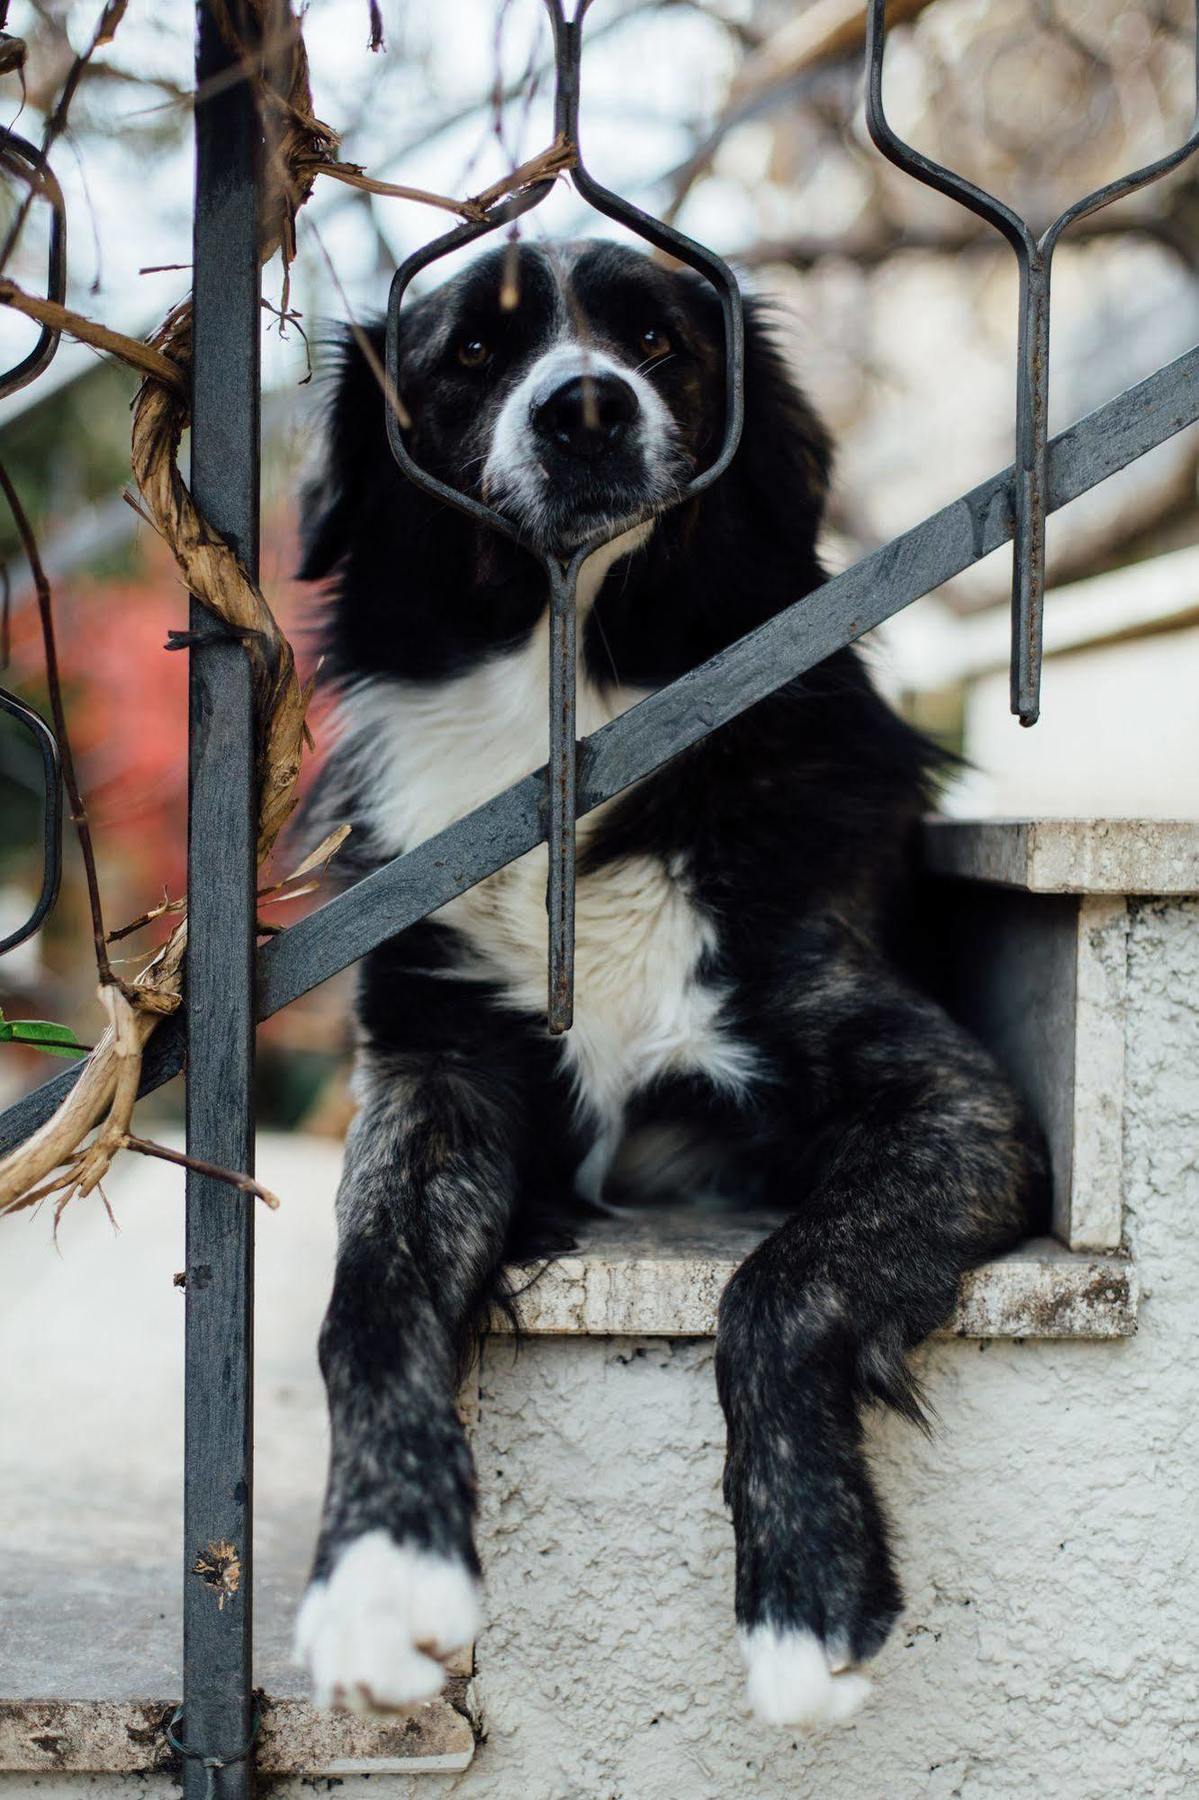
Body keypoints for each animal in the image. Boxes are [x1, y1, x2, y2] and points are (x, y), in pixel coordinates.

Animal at [291, 243, 1044, 1728]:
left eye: (659, 342)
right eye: (472, 353)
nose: (583, 406)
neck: (583, 712)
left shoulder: (954, 1103)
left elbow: (778, 1283)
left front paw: (806, 1590)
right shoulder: (434, 1069)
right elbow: (366, 1293)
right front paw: (378, 1573)